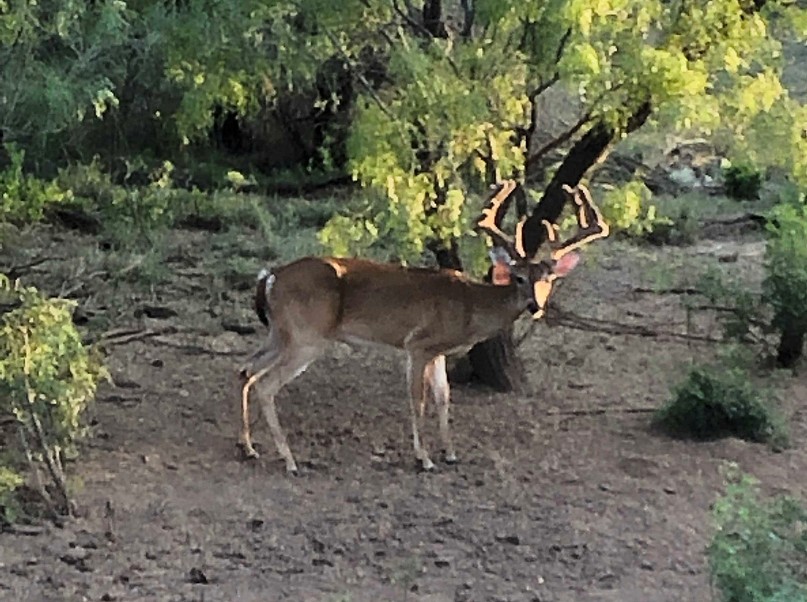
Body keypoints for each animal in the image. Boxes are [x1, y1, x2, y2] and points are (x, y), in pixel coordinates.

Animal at [237, 180, 608, 472]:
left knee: (246, 370)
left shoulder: (439, 352)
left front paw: (451, 453)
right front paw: (424, 458)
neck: (470, 307)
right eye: (518, 278)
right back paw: (289, 460)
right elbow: (419, 400)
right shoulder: (418, 344)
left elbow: (444, 397)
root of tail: (269, 276)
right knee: (265, 383)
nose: (535, 306)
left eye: (548, 279)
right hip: (308, 336)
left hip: (281, 333)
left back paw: (249, 447)